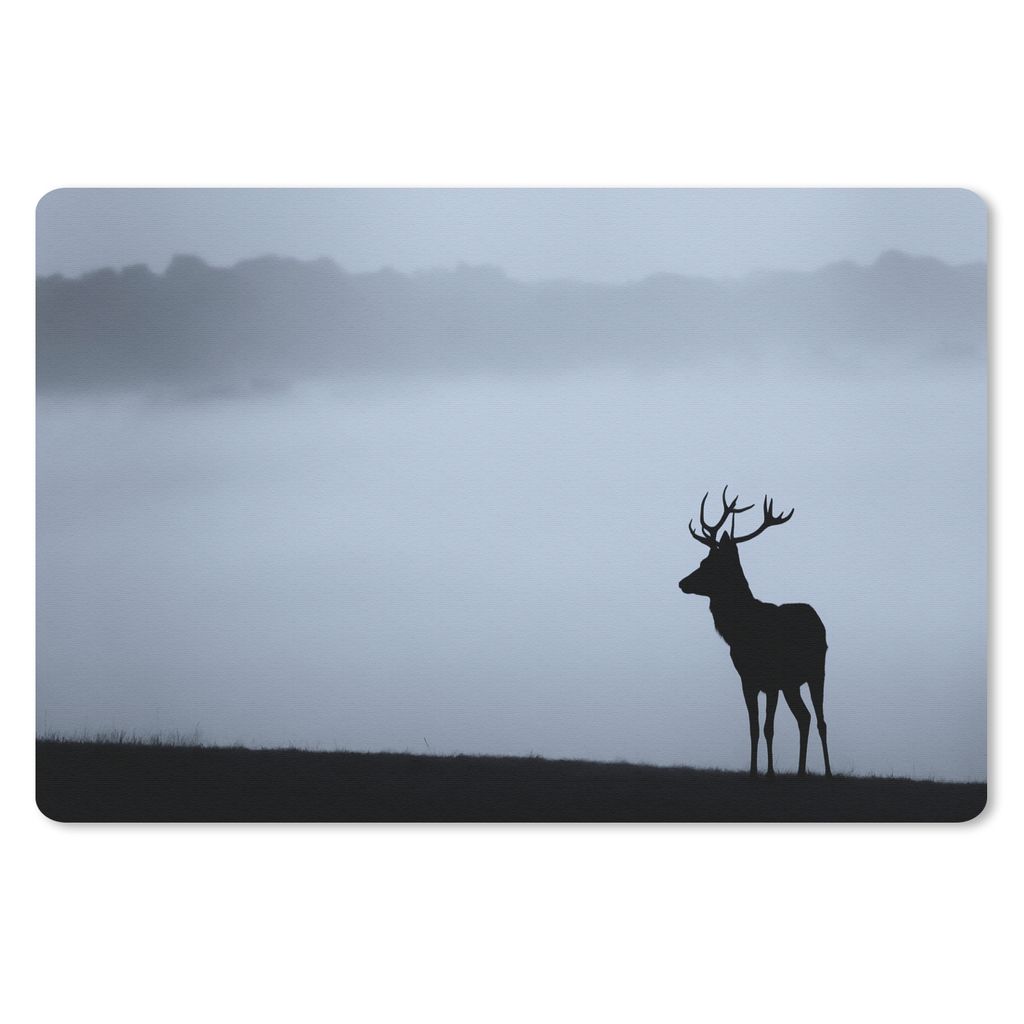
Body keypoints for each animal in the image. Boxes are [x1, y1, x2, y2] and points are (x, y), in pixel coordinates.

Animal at [678, 488, 831, 778]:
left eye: (708, 563)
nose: (682, 582)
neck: (743, 631)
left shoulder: (771, 679)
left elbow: (768, 728)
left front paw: (769, 773)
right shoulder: (747, 679)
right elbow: (753, 728)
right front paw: (752, 771)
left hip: (817, 672)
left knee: (820, 720)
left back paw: (826, 772)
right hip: (791, 684)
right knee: (804, 717)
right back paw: (800, 771)